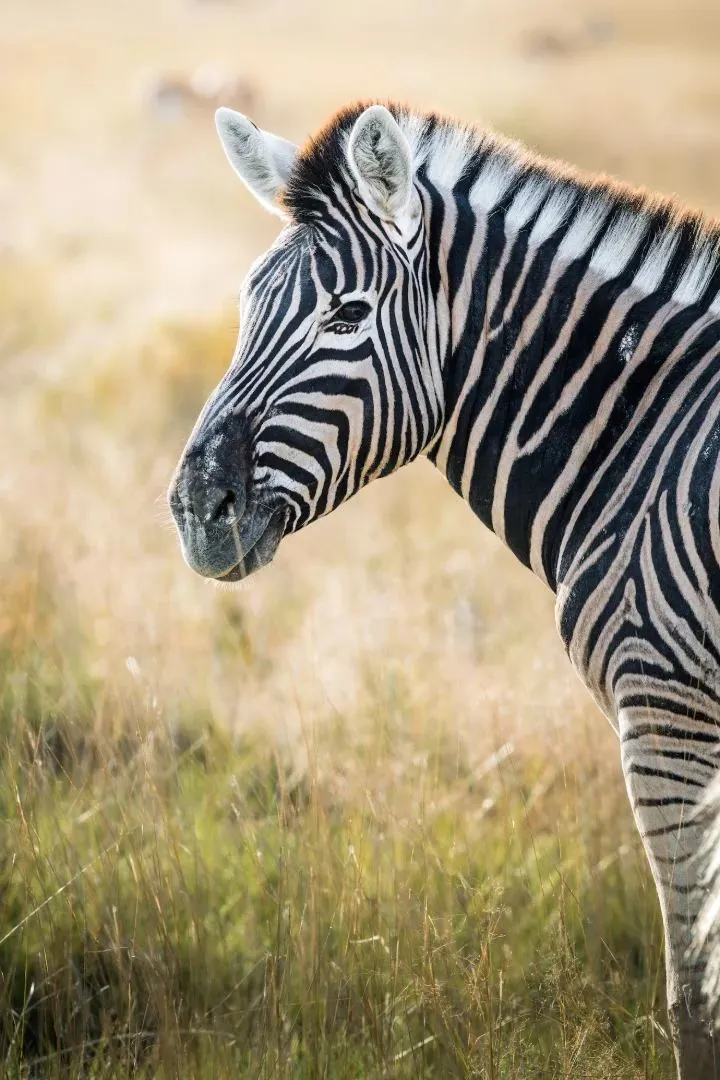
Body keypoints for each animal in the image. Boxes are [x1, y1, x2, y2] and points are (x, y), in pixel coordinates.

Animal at [168, 100, 720, 1078]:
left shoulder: (667, 717)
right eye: (245, 305)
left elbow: (692, 995)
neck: (645, 438)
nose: (198, 511)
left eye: (348, 316)